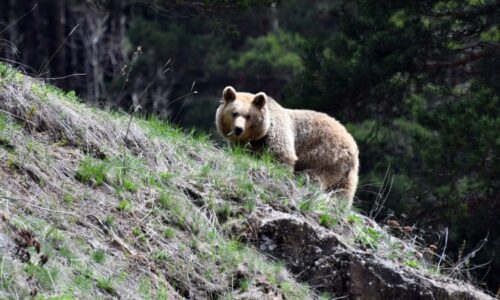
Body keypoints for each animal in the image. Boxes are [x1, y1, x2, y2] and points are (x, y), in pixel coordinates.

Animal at [215, 86, 360, 206]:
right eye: (234, 113)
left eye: (248, 116)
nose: (238, 129)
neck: (257, 136)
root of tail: (352, 146)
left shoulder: (275, 134)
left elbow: (281, 156)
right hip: (346, 174)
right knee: (343, 192)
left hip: (324, 155)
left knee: (312, 177)